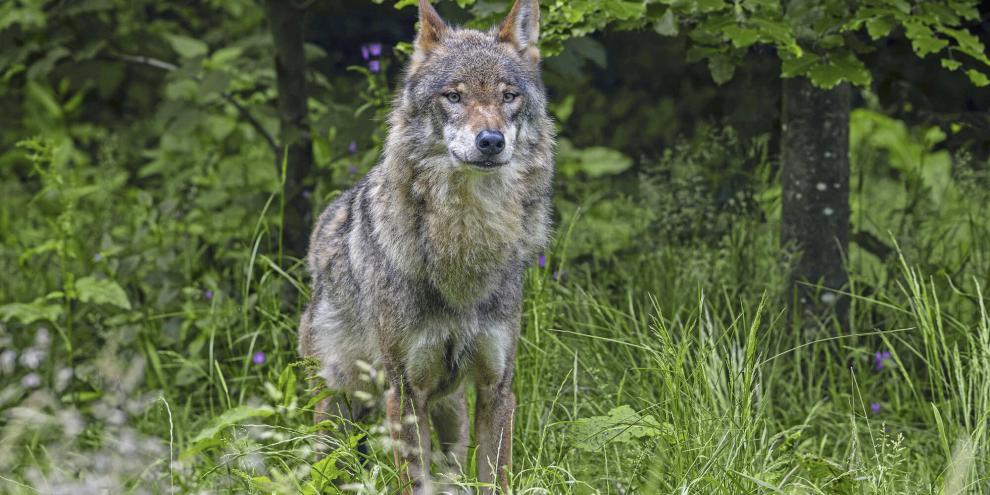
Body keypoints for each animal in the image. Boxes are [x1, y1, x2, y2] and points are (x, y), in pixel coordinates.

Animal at [297, 0, 554, 492]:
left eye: (508, 96)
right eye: (453, 97)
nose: (490, 141)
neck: (465, 238)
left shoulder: (497, 387)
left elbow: (495, 476)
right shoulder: (405, 391)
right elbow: (413, 481)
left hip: (449, 412)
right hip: (338, 409)